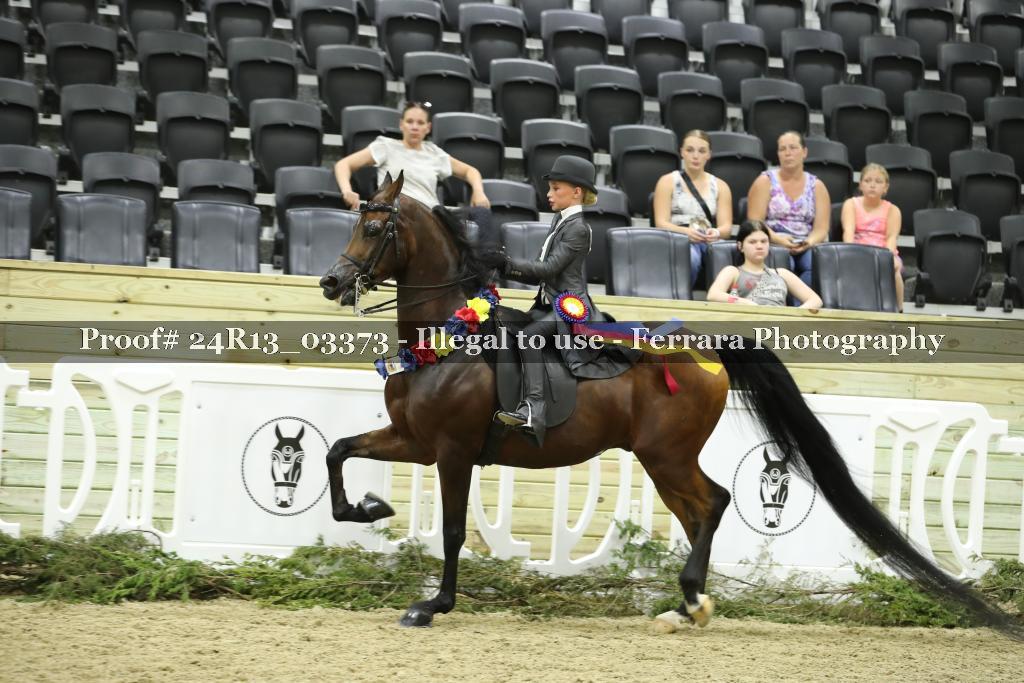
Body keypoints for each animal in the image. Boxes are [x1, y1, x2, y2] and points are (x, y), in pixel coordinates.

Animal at [318, 172, 1021, 637]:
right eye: (354, 220)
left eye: (375, 226)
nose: (330, 280)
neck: (450, 335)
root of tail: (704, 348)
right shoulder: (413, 439)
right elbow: (337, 452)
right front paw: (369, 508)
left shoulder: (454, 451)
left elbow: (454, 530)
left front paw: (430, 606)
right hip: (662, 460)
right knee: (699, 511)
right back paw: (689, 604)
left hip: (666, 454)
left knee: (713, 502)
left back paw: (691, 598)